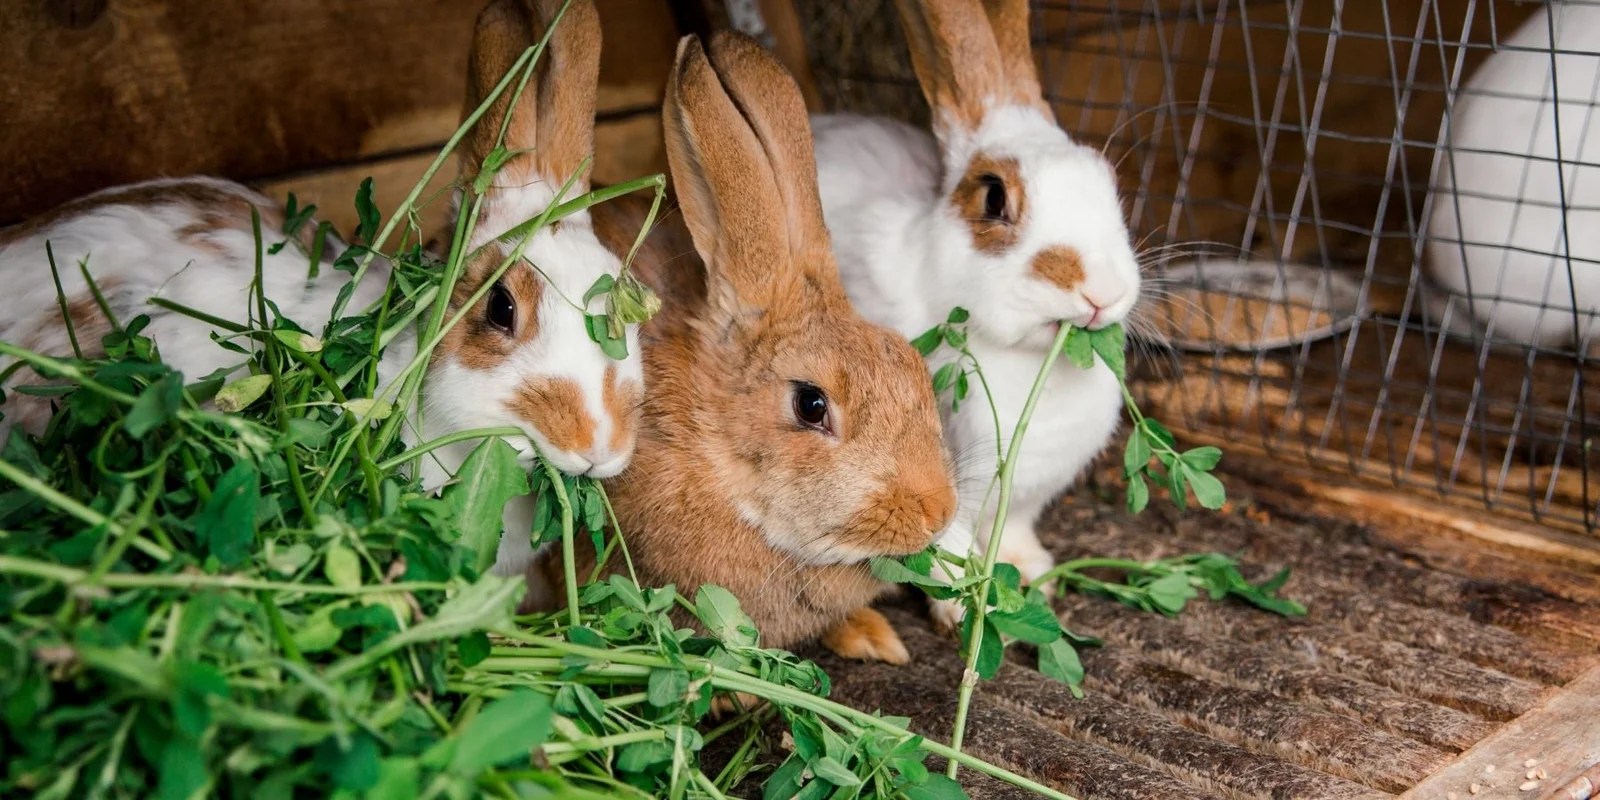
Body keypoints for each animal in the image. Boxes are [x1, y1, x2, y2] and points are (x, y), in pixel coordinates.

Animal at [806, 0, 1143, 597]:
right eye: (993, 197)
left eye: (1109, 185)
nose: (1103, 292)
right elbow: (943, 546)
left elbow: (1014, 528)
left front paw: (1032, 572)